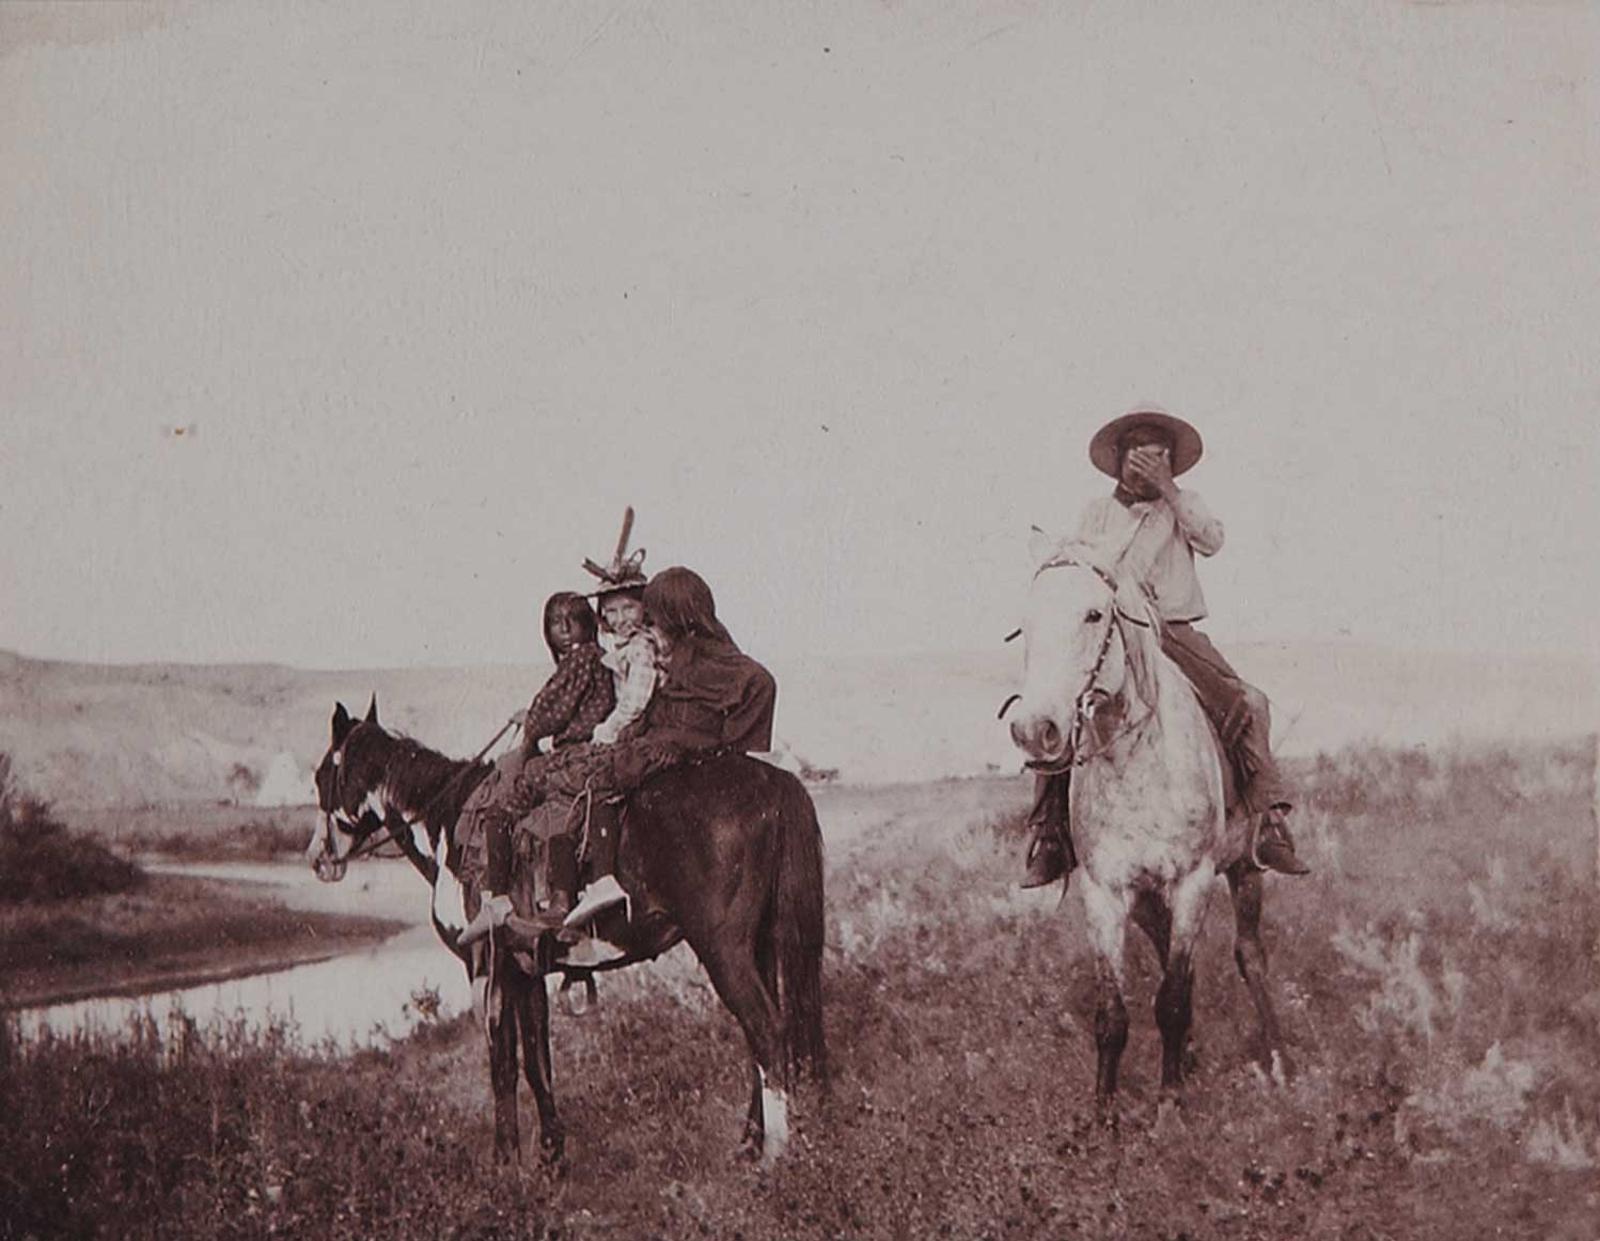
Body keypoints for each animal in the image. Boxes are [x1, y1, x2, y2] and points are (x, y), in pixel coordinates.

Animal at [305, 697, 825, 1164]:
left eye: (322, 776)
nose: (318, 859)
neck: (449, 823)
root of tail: (774, 782)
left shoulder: (486, 968)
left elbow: (502, 1066)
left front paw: (505, 1163)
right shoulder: (525, 970)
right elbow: (537, 1063)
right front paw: (551, 1157)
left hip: (724, 950)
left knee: (768, 1032)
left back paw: (774, 1155)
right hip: (759, 945)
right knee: (764, 1040)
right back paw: (750, 1142)